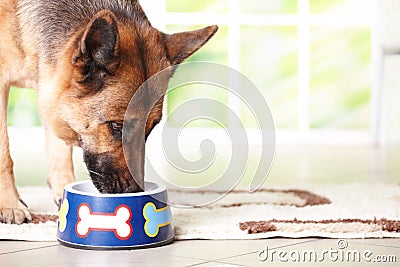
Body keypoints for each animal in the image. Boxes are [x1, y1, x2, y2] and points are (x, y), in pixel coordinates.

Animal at [0, 0, 219, 225]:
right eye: (117, 126)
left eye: (150, 128)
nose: (135, 191)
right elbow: (4, 155)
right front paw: (10, 204)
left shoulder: (51, 88)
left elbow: (59, 150)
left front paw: (63, 193)